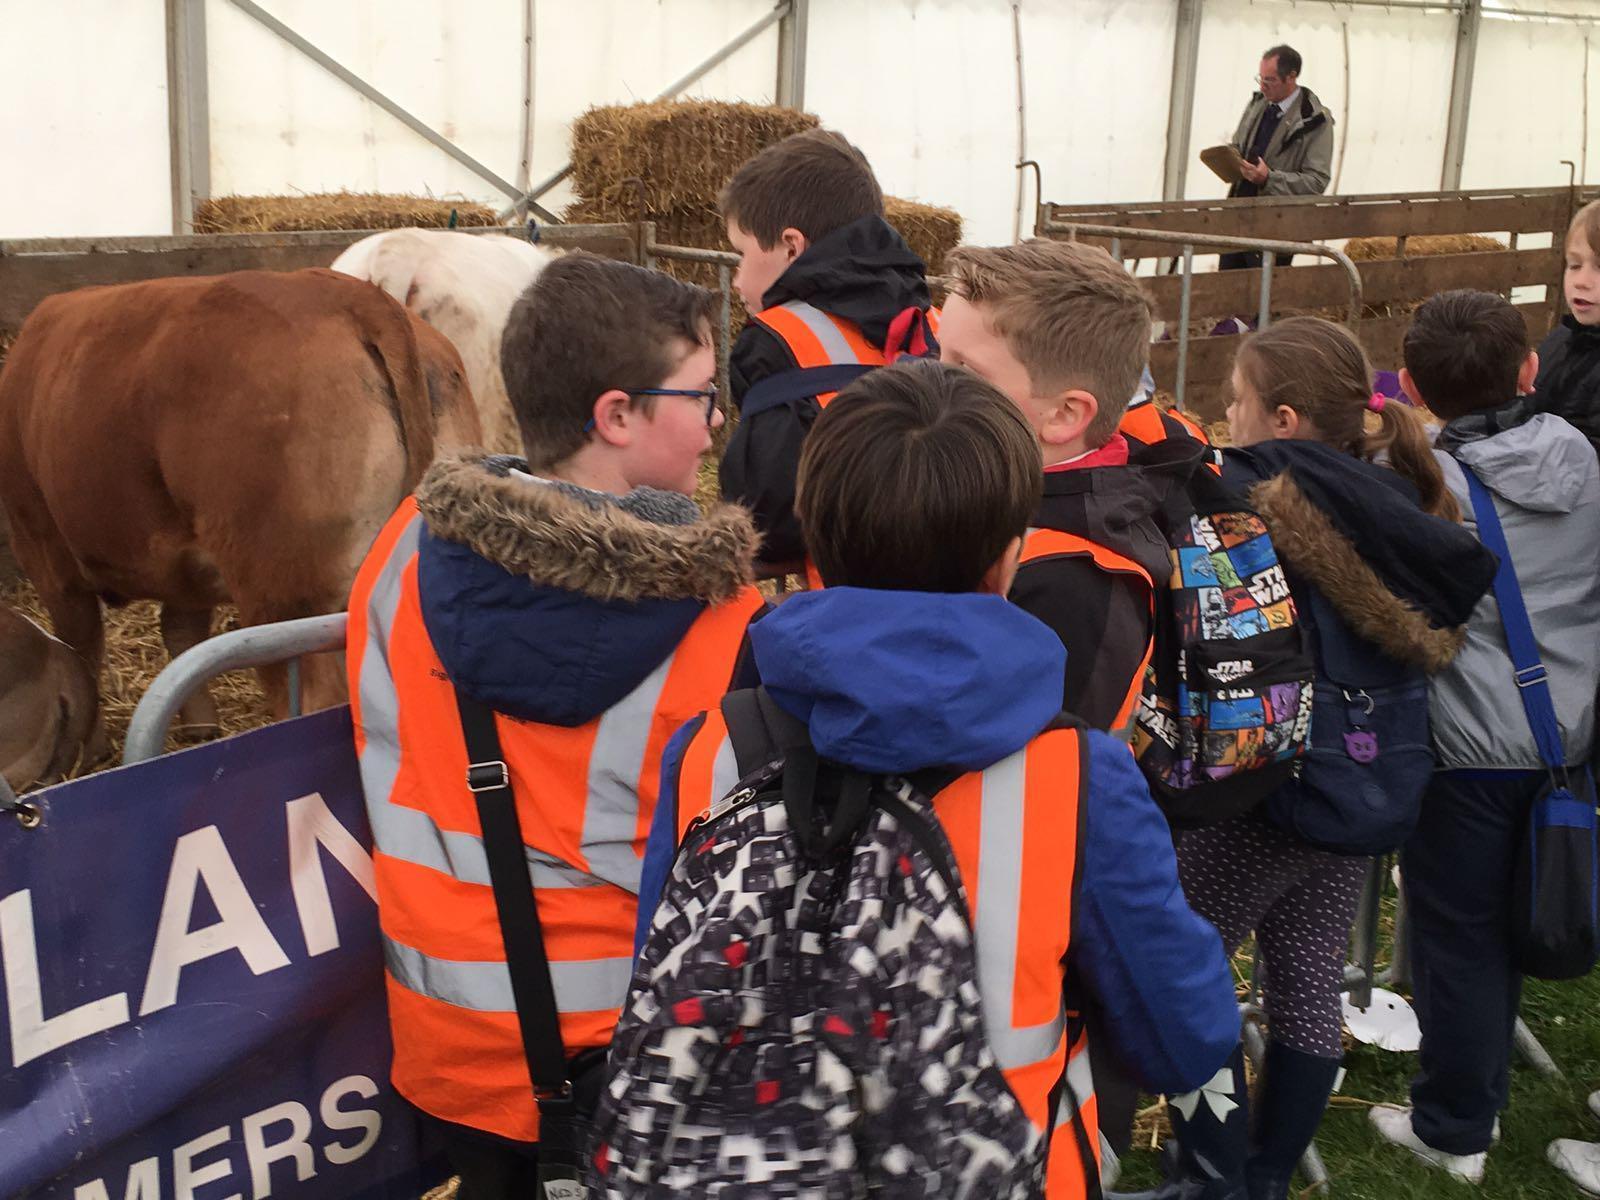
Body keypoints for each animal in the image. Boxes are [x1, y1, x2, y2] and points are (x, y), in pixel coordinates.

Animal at [0, 268, 481, 732]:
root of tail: (354, 295)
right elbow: (181, 630)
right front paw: (200, 727)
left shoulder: (43, 546)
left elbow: (82, 646)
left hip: (282, 597)